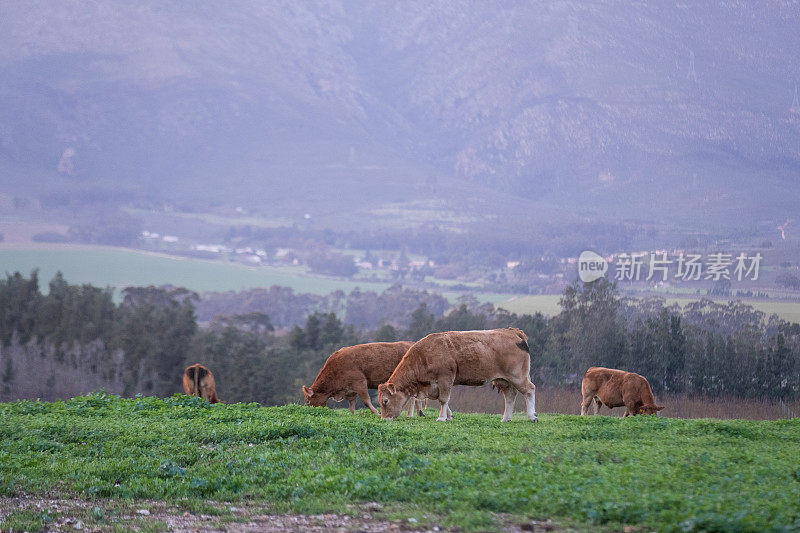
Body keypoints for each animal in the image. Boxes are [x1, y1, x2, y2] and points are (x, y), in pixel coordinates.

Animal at [376, 326, 536, 422]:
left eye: (385, 401)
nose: (384, 419)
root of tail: (512, 331)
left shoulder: (445, 379)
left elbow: (443, 399)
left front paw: (441, 418)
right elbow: (443, 401)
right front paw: (449, 415)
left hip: (518, 376)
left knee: (529, 390)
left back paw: (532, 416)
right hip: (503, 380)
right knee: (510, 396)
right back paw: (505, 418)